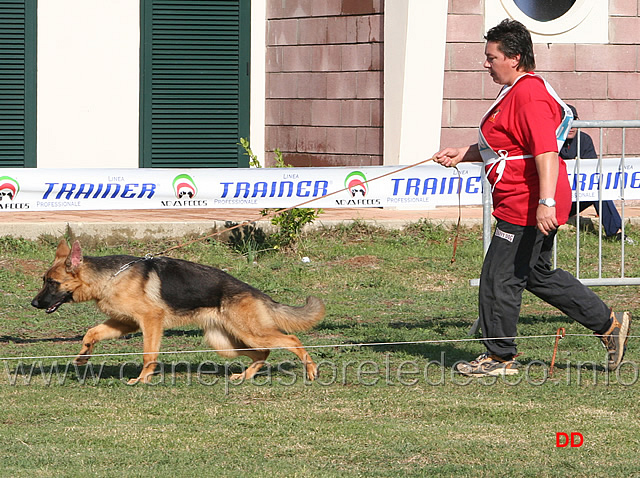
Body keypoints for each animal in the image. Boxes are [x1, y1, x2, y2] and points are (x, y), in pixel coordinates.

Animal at [31, 241, 324, 382]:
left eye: (52, 283)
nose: (34, 304)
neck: (108, 277)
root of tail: (257, 292)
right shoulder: (125, 323)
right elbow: (91, 333)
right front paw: (83, 356)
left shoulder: (150, 321)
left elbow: (149, 353)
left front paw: (143, 379)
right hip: (225, 343)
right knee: (263, 353)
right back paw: (246, 376)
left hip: (249, 333)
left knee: (290, 340)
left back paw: (310, 369)